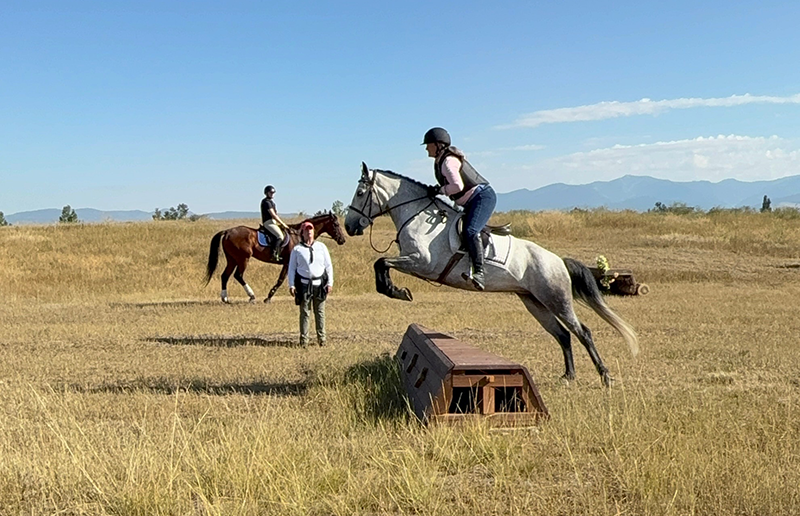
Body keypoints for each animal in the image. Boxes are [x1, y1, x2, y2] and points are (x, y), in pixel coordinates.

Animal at [205, 212, 346, 303]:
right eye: (336, 224)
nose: (342, 240)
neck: (299, 235)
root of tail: (228, 231)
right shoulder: (288, 263)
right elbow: (281, 280)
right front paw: (268, 297)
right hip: (243, 258)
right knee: (238, 276)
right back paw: (252, 296)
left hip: (232, 259)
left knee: (225, 276)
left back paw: (225, 298)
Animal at [345, 162, 638, 386]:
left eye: (359, 193)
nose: (349, 226)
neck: (416, 214)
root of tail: (559, 261)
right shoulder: (414, 262)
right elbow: (381, 263)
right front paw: (394, 290)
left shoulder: (422, 262)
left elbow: (382, 262)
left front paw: (397, 292)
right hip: (535, 302)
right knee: (563, 335)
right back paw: (568, 376)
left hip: (557, 299)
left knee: (583, 332)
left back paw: (605, 377)